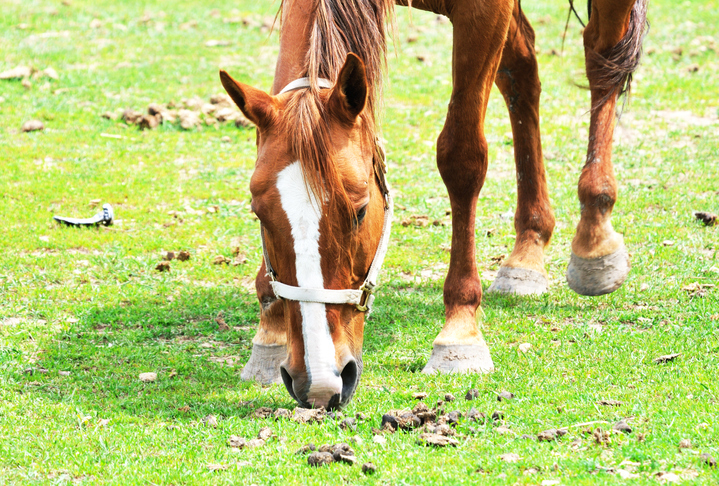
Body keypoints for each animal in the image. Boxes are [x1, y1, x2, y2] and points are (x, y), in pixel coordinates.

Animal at [219, 0, 648, 410]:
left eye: (360, 211)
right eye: (259, 214)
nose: (319, 382)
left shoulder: (484, 11)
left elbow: (461, 156)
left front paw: (460, 331)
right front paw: (271, 329)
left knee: (601, 55)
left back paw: (594, 236)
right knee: (522, 68)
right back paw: (527, 250)